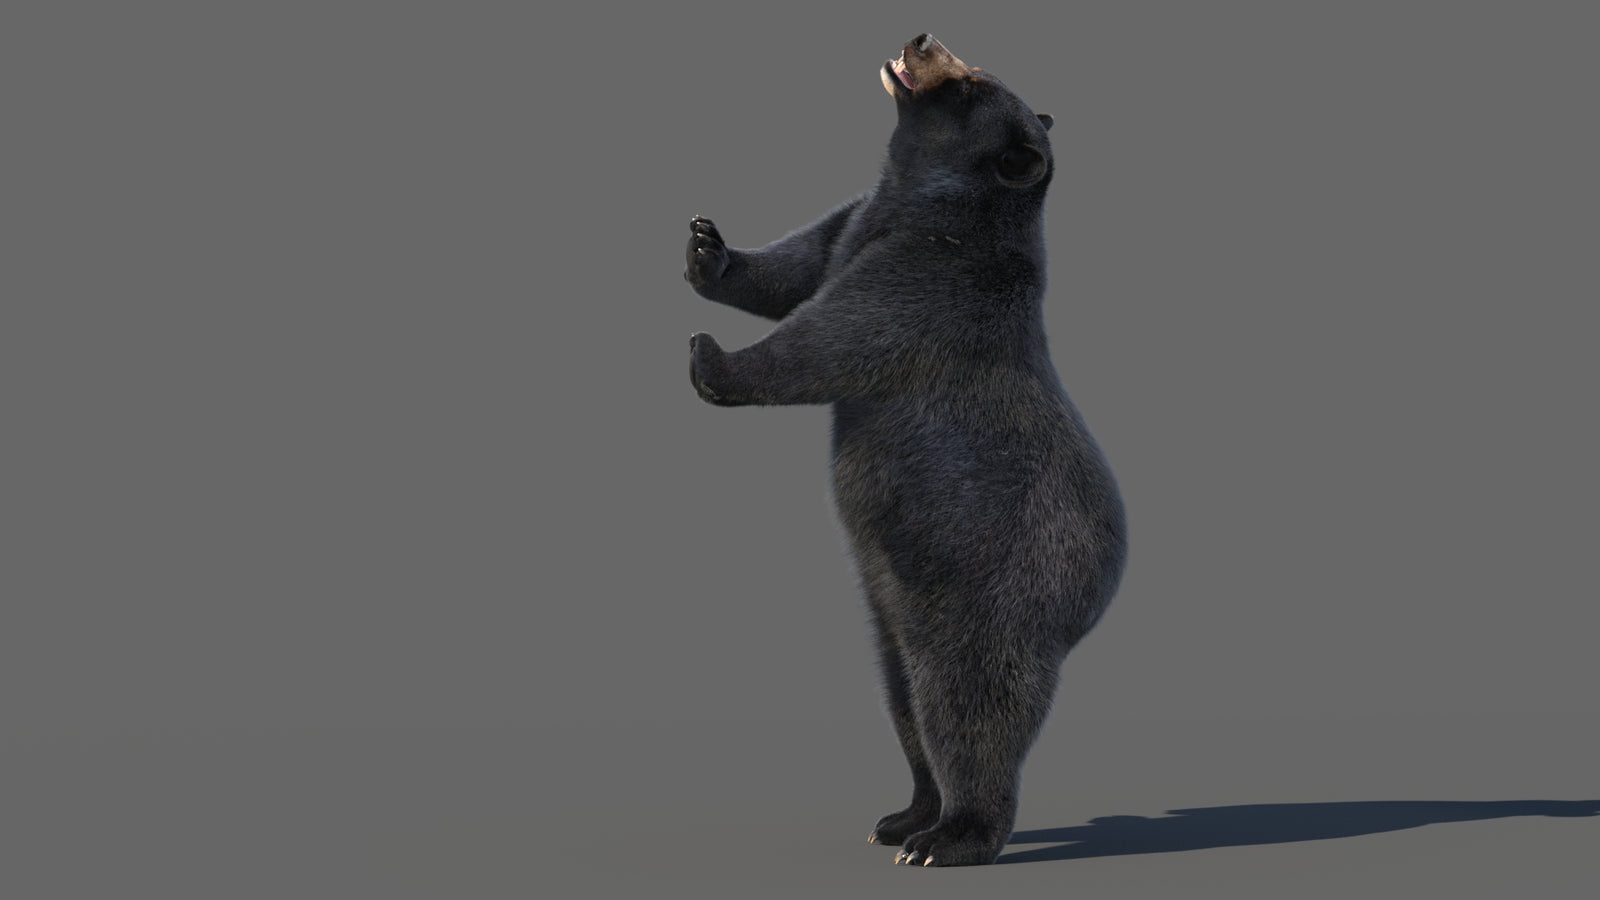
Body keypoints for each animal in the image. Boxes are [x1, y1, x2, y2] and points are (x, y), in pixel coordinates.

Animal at [680, 34, 1127, 867]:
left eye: (970, 83)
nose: (921, 40)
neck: (918, 199)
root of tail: (1093, 600)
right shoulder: (854, 223)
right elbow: (793, 268)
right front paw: (706, 248)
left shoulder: (934, 277)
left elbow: (835, 335)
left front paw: (710, 358)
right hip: (891, 610)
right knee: (904, 705)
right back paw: (904, 815)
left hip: (989, 598)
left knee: (966, 709)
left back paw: (952, 836)